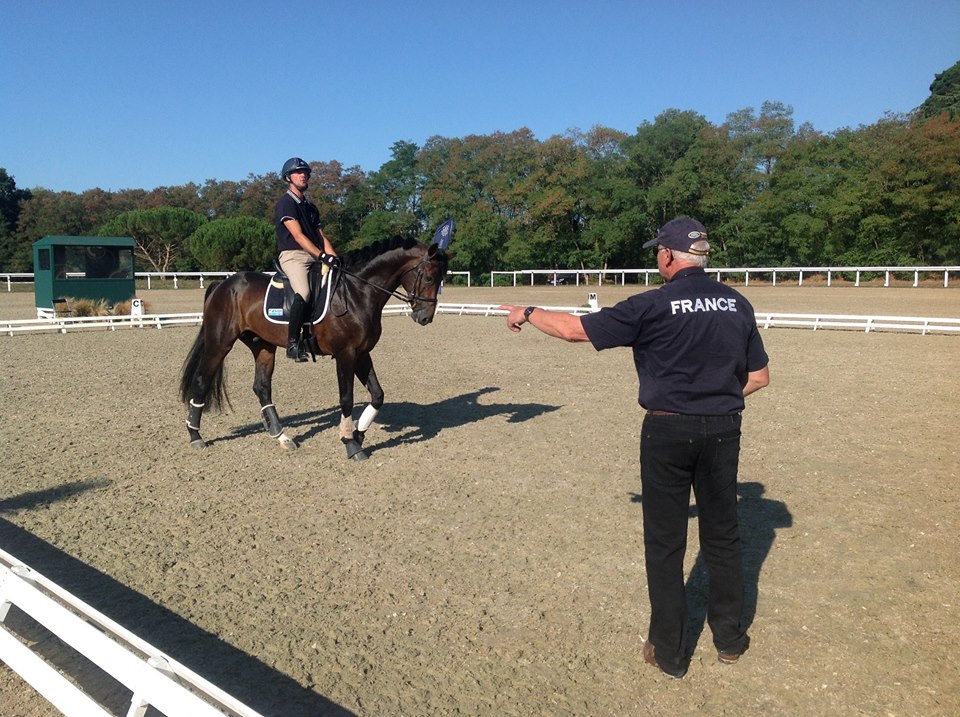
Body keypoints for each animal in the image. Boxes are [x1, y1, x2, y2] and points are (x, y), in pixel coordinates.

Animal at [179, 235, 450, 458]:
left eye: (441, 279)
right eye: (428, 277)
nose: (425, 317)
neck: (357, 292)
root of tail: (223, 284)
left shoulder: (362, 354)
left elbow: (378, 395)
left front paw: (358, 434)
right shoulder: (345, 354)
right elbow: (346, 399)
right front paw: (350, 443)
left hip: (263, 346)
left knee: (262, 387)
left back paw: (282, 437)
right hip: (220, 343)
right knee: (202, 381)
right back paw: (195, 436)